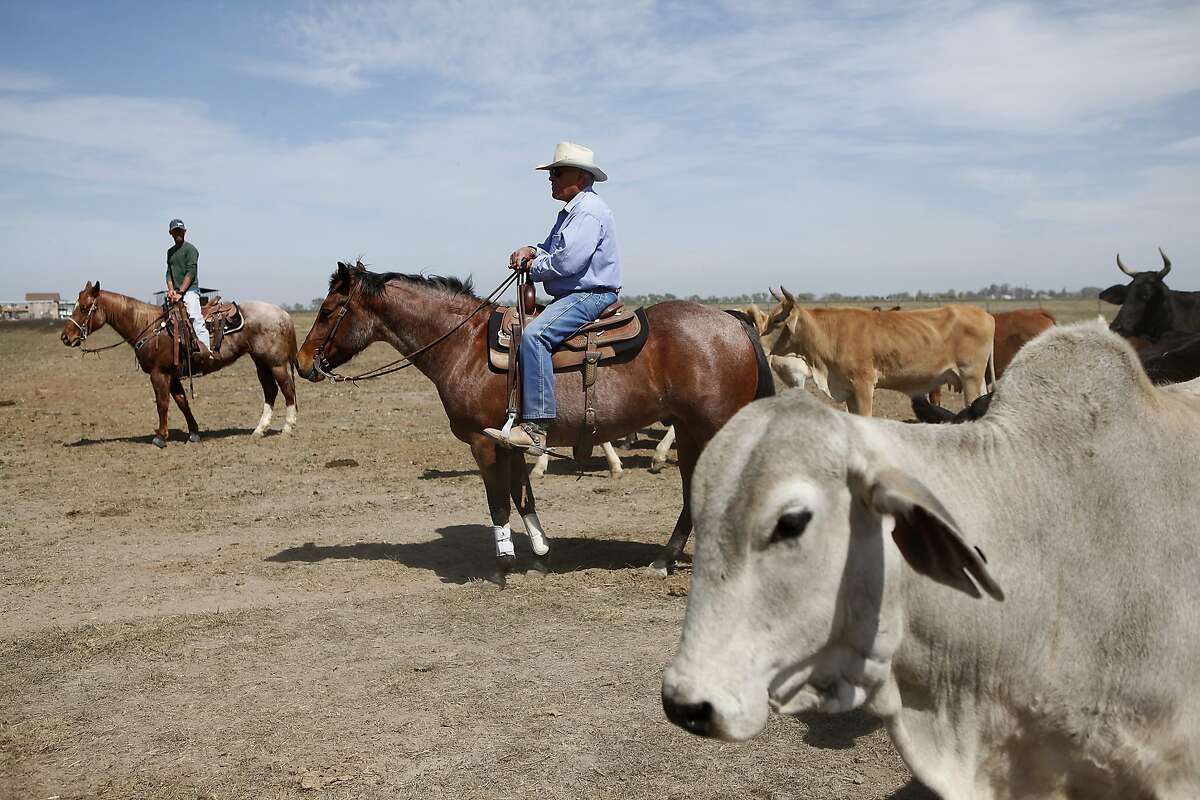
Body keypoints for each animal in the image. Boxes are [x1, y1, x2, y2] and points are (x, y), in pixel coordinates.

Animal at [63, 280, 302, 443]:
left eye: (83, 308)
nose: (66, 337)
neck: (150, 326)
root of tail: (282, 314)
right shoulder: (173, 375)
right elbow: (181, 402)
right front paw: (194, 432)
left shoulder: (159, 374)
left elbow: (162, 404)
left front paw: (161, 436)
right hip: (261, 362)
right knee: (270, 391)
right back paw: (259, 430)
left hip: (276, 363)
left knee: (287, 390)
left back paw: (287, 427)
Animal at [295, 262, 772, 582]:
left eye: (328, 310)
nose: (301, 363)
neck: (464, 345)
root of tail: (733, 320)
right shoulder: (511, 441)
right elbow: (523, 495)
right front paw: (541, 552)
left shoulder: (483, 442)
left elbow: (498, 501)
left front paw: (502, 564)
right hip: (691, 431)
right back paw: (664, 559)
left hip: (713, 427)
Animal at [763, 287, 998, 417]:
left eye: (777, 320)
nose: (762, 342)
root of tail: (987, 315)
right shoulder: (849, 391)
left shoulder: (863, 385)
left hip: (970, 378)